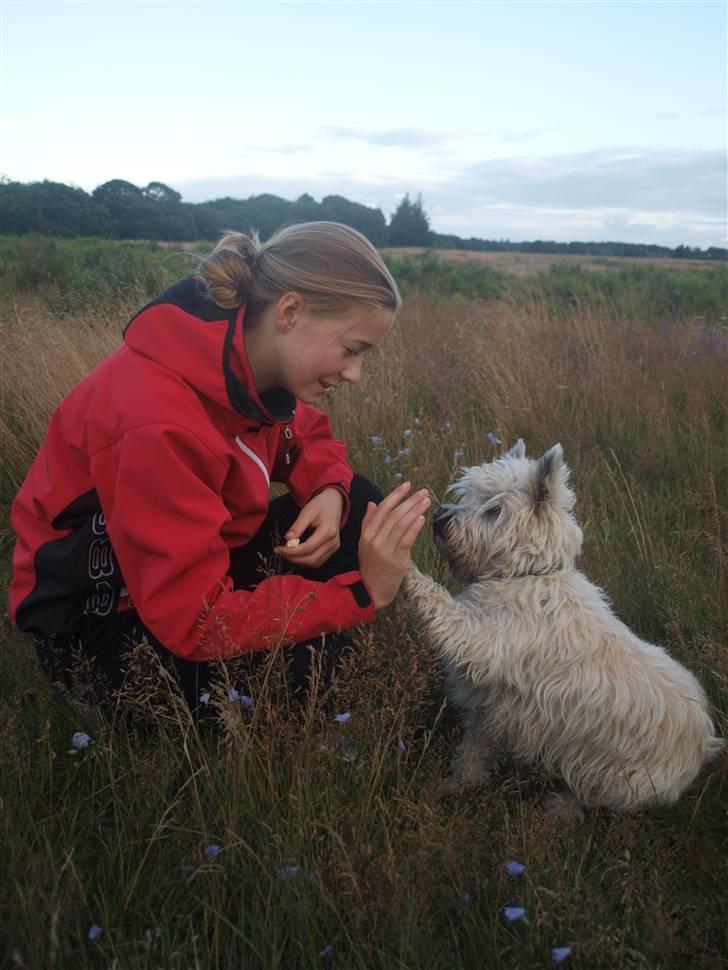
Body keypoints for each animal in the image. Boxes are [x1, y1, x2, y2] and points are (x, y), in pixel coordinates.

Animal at [404, 442, 724, 812]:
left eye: (494, 510)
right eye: (469, 495)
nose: (439, 518)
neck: (525, 573)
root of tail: (704, 746)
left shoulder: (481, 639)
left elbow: (437, 602)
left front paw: (399, 562)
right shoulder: (490, 709)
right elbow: (472, 754)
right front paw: (456, 786)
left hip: (621, 779)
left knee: (591, 797)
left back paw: (559, 809)